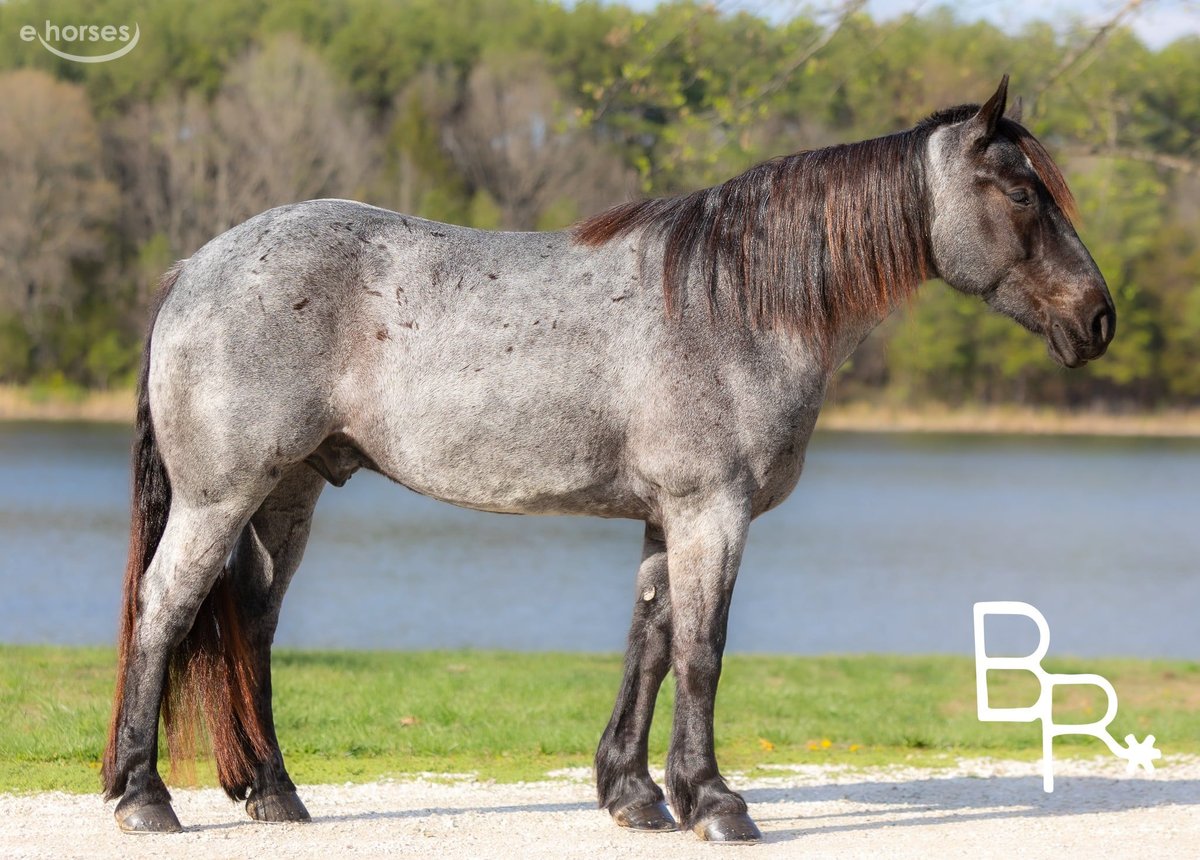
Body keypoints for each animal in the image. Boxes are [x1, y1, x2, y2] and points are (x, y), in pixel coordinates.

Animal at [101, 76, 1114, 841]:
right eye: (1022, 193)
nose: (1099, 318)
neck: (735, 302)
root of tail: (193, 268)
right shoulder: (712, 512)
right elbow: (702, 652)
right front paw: (716, 803)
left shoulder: (670, 519)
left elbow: (651, 644)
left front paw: (634, 794)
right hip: (220, 496)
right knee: (164, 608)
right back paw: (143, 796)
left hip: (287, 496)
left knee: (250, 623)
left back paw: (274, 791)